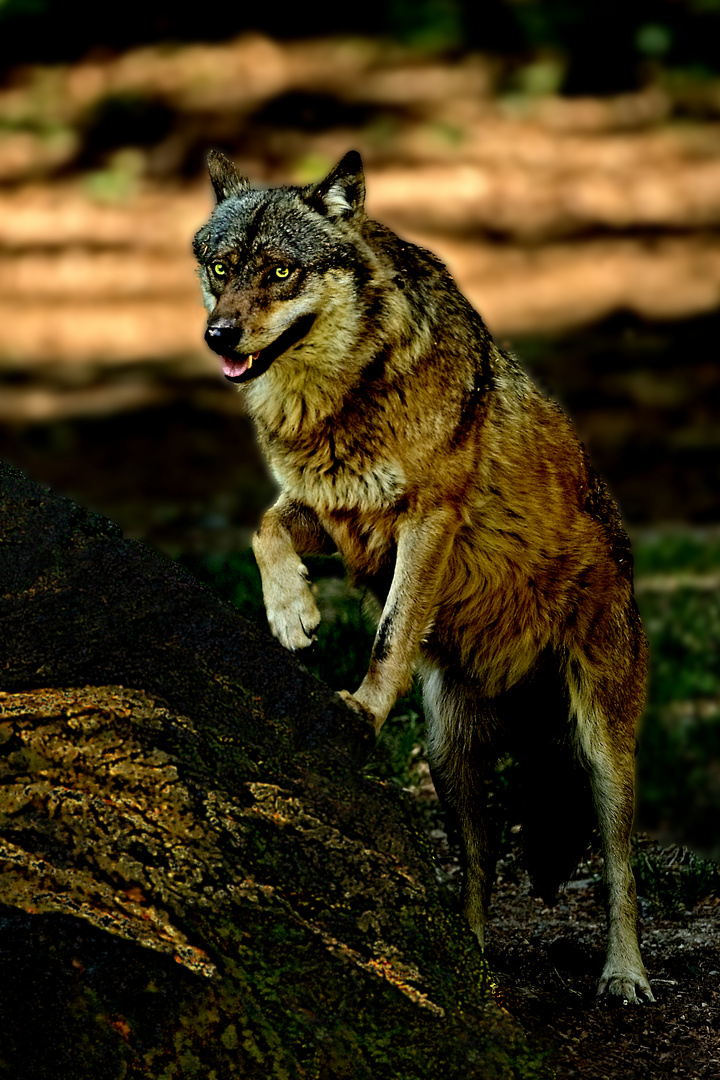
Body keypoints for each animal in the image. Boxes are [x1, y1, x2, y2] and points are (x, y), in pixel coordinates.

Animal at [193, 149, 654, 1004]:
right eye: (221, 268)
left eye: (280, 270)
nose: (219, 335)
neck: (336, 399)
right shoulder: (340, 518)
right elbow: (262, 527)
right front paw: (291, 616)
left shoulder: (426, 523)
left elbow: (390, 634)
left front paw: (362, 707)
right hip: (449, 757)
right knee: (479, 863)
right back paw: (472, 961)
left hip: (604, 748)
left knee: (618, 865)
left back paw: (625, 974)